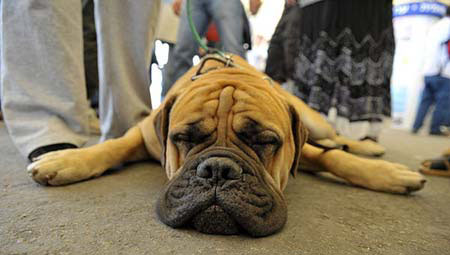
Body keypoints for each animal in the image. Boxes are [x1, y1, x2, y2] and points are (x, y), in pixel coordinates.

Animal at [27, 54, 426, 236]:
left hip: (314, 119)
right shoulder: (142, 134)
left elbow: (331, 159)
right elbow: (110, 147)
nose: (218, 169)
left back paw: (368, 148)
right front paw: (63, 160)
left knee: (333, 139)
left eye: (265, 141)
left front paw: (389, 174)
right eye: (183, 138)